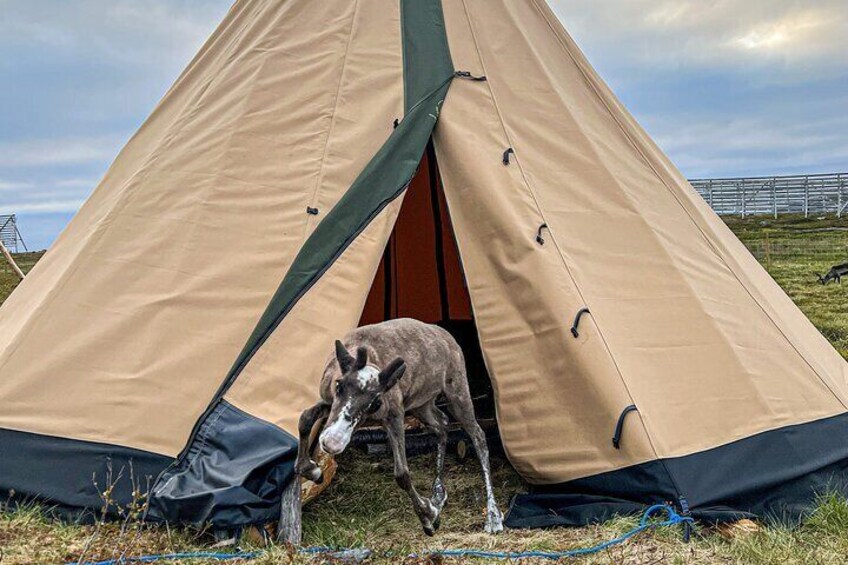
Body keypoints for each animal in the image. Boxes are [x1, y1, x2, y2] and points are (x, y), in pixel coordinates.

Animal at [294, 318, 500, 532]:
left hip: (457, 390)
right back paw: (438, 493)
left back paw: (493, 515)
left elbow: (402, 473)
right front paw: (312, 470)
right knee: (442, 424)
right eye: (338, 385)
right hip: (421, 404)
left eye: (375, 402)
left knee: (477, 434)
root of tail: (449, 338)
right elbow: (304, 419)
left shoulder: (395, 414)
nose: (332, 443)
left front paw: (428, 517)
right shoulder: (327, 401)